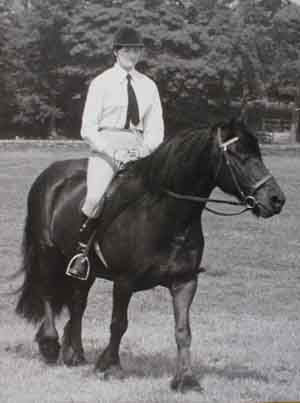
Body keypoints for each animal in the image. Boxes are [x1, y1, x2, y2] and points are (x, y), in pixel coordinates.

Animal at [15, 118, 284, 392]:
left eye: (258, 153)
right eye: (238, 154)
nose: (276, 200)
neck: (167, 216)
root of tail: (52, 174)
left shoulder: (185, 281)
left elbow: (183, 331)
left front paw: (186, 380)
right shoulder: (124, 282)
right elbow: (118, 324)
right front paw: (110, 367)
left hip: (85, 270)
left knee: (78, 303)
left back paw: (75, 354)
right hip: (47, 253)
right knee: (48, 294)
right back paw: (50, 346)